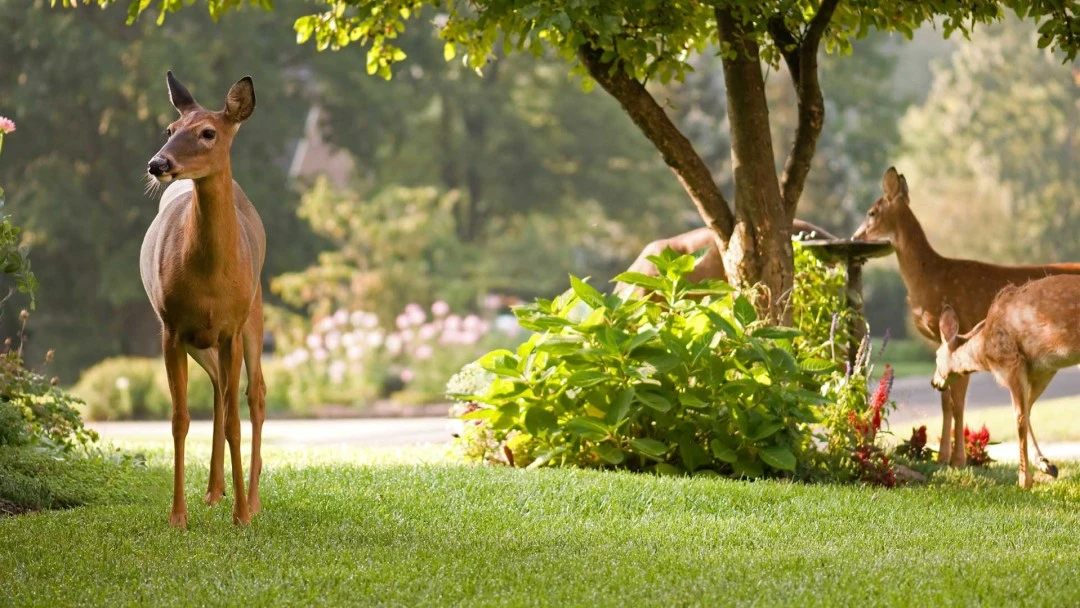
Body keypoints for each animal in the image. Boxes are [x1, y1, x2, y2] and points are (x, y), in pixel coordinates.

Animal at [140, 72, 267, 527]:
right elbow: (179, 420)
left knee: (255, 395)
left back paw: (252, 499)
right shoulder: (171, 328)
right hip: (200, 340)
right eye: (170, 129)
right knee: (217, 389)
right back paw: (214, 490)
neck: (211, 276)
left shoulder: (231, 326)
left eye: (209, 132)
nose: (158, 164)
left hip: (254, 313)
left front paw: (242, 516)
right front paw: (178, 516)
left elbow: (235, 421)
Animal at [931, 277, 1080, 488]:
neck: (984, 349)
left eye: (936, 356)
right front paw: (1046, 465)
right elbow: (1027, 411)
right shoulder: (1043, 369)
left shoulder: (1011, 362)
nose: (934, 382)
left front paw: (1024, 480)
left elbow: (1019, 419)